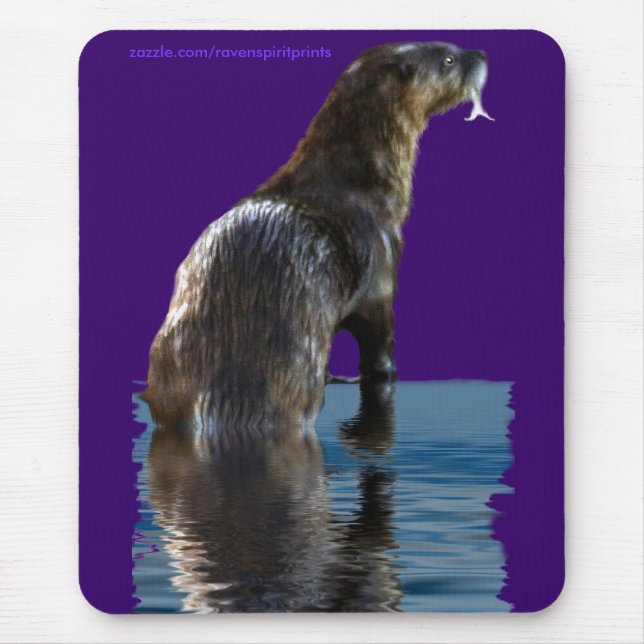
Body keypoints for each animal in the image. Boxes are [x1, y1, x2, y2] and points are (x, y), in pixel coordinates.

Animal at [144, 41, 492, 433]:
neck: (362, 182)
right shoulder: (381, 272)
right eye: (449, 59)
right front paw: (382, 374)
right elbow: (378, 341)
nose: (480, 54)